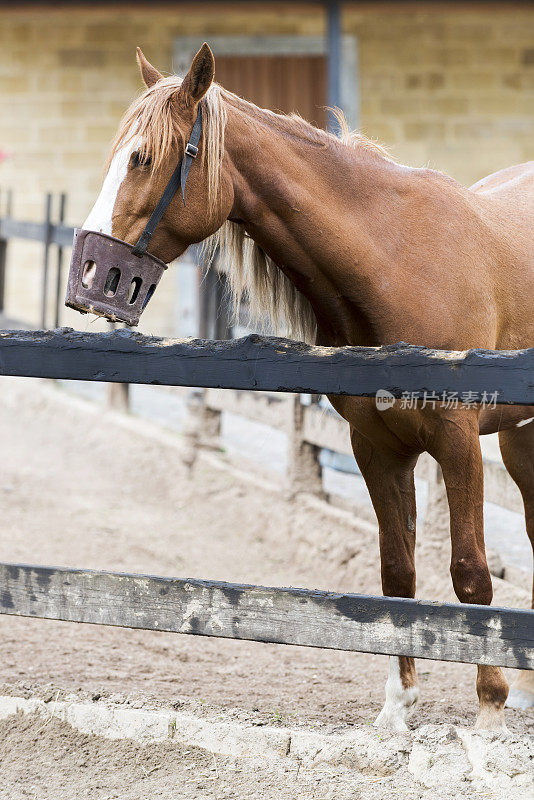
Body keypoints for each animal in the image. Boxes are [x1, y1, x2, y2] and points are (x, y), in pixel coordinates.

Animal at [80, 45, 534, 732]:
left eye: (143, 158)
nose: (89, 273)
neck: (398, 260)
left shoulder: (457, 441)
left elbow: (471, 576)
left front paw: (488, 713)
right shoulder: (377, 447)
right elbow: (398, 574)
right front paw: (397, 712)